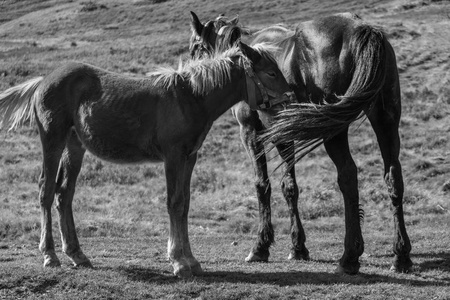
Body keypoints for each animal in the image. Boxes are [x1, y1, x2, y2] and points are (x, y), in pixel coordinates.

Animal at [0, 41, 296, 278]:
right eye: (271, 72)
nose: (290, 98)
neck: (190, 98)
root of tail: (43, 81)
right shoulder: (173, 157)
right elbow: (174, 203)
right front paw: (178, 262)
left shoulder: (189, 157)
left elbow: (185, 204)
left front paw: (191, 260)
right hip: (53, 140)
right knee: (46, 190)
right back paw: (49, 255)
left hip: (75, 145)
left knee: (64, 193)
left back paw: (77, 254)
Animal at [188, 12, 414, 274]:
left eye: (195, 48)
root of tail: (360, 28)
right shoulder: (283, 135)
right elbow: (290, 187)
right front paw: (298, 247)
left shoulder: (250, 131)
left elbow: (262, 185)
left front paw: (261, 246)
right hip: (385, 121)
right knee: (393, 177)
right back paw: (401, 255)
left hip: (335, 131)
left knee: (348, 176)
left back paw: (349, 257)